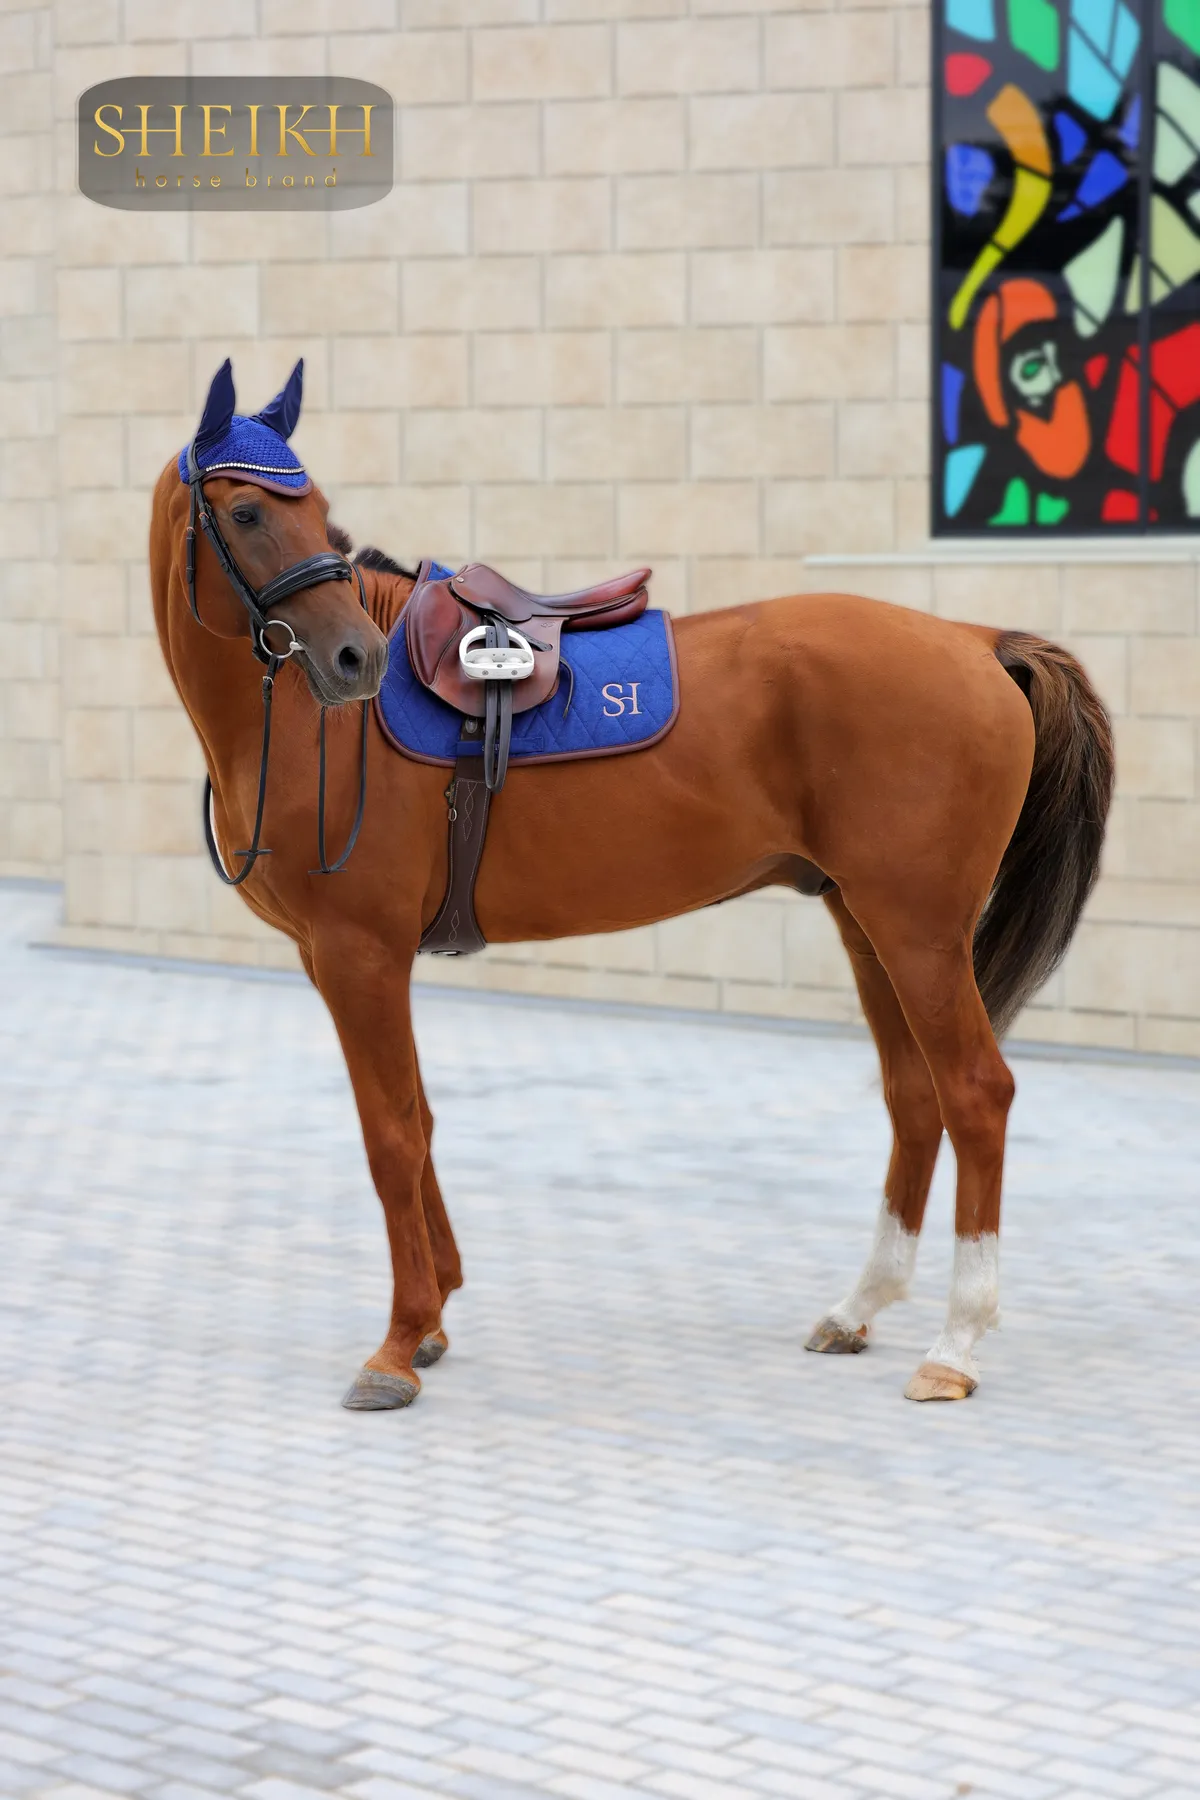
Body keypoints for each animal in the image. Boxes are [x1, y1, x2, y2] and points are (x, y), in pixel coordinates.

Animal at [149, 360, 1114, 1411]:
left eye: (316, 512)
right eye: (246, 512)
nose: (351, 660)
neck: (313, 733)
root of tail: (977, 640)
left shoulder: (360, 957)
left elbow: (392, 1135)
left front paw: (398, 1346)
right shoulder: (340, 963)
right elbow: (419, 1119)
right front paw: (435, 1317)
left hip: (919, 930)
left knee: (976, 1093)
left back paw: (955, 1345)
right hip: (870, 923)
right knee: (916, 1098)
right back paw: (858, 1309)